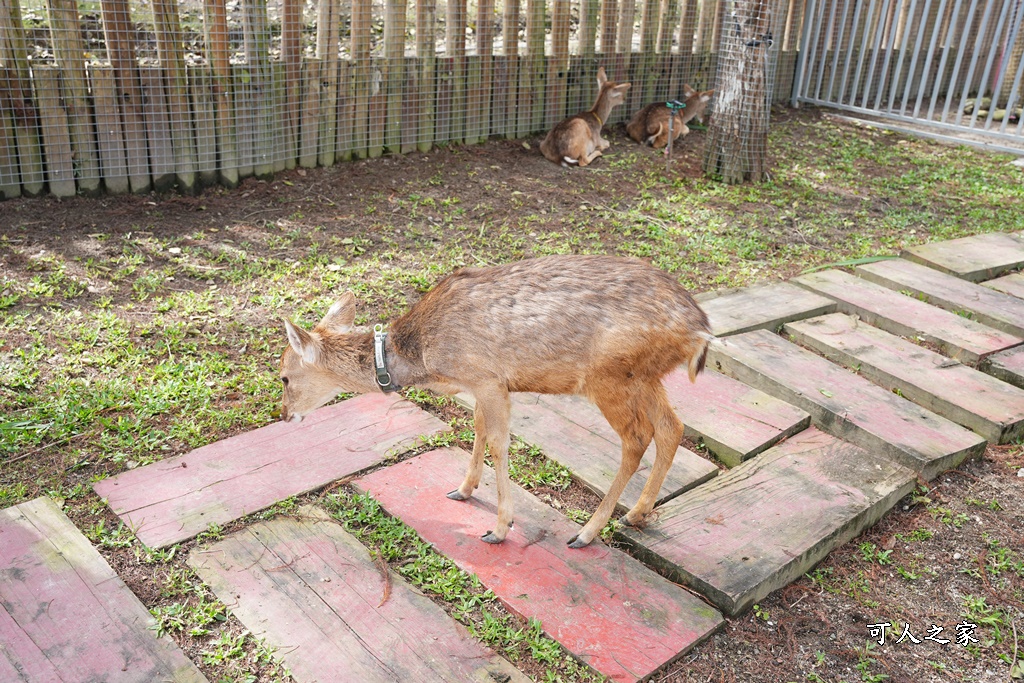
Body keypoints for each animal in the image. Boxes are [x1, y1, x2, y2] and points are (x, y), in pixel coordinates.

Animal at [280, 255, 712, 548]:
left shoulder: (489, 379)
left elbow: (499, 443)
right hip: (646, 377)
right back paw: (637, 515)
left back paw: (586, 532)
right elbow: (479, 427)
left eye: (284, 376)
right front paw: (463, 489)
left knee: (637, 437)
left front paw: (500, 528)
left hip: (609, 377)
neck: (426, 360)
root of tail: (701, 330)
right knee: (672, 426)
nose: (284, 416)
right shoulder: (483, 385)